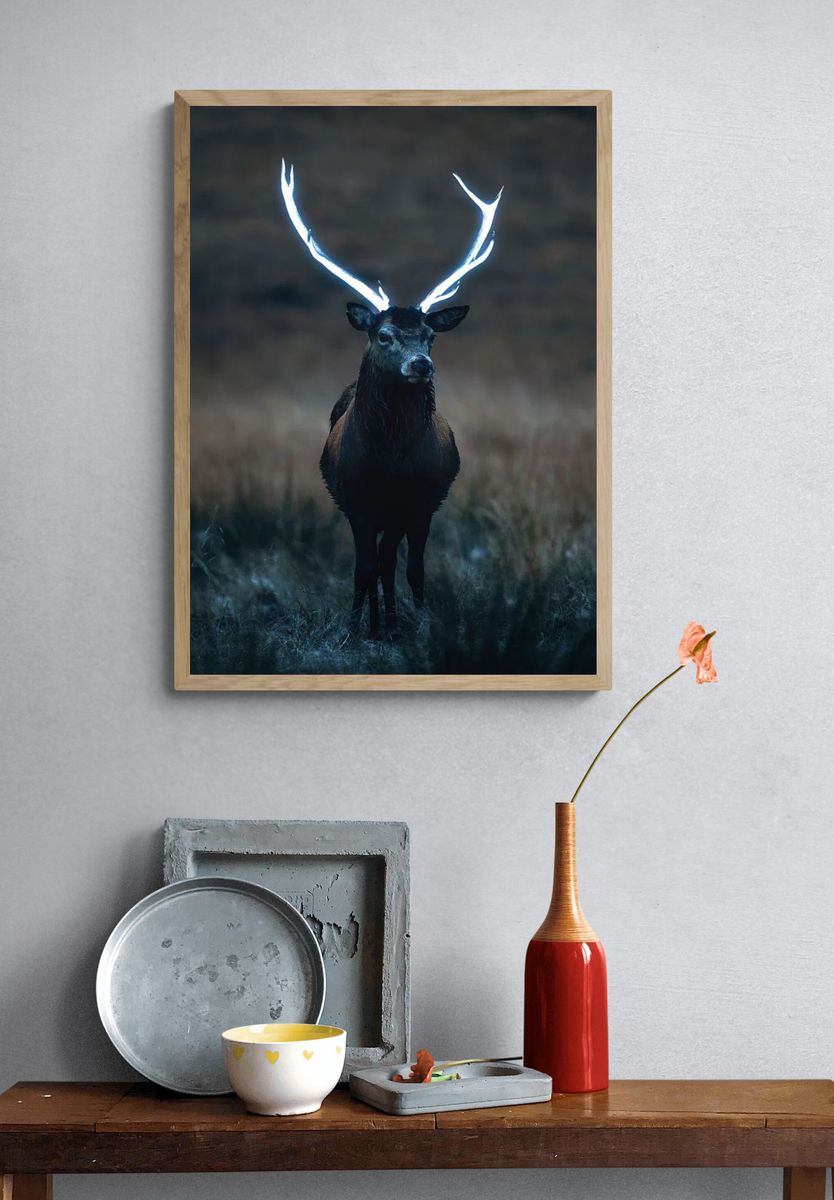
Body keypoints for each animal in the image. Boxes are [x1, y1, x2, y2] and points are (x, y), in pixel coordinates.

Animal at [279, 162, 503, 637]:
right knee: (375, 564)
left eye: (431, 335)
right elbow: (363, 568)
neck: (388, 462)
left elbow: (403, 566)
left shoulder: (417, 499)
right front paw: (354, 632)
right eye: (383, 335)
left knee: (403, 562)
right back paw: (377, 624)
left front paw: (412, 628)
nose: (422, 364)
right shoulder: (357, 500)